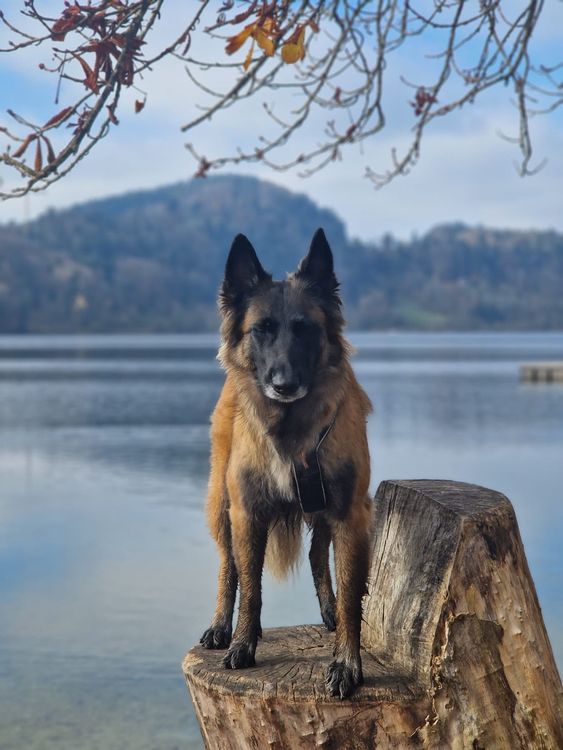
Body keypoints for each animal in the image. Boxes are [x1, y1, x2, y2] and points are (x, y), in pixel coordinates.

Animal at [199, 228, 374, 700]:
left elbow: (351, 592)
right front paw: (243, 644)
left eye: (304, 329)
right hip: (222, 504)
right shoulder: (248, 512)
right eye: (261, 330)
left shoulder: (349, 513)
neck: (291, 430)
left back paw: (327, 612)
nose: (283, 384)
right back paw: (221, 625)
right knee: (228, 565)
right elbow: (251, 586)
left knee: (316, 555)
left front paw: (346, 663)